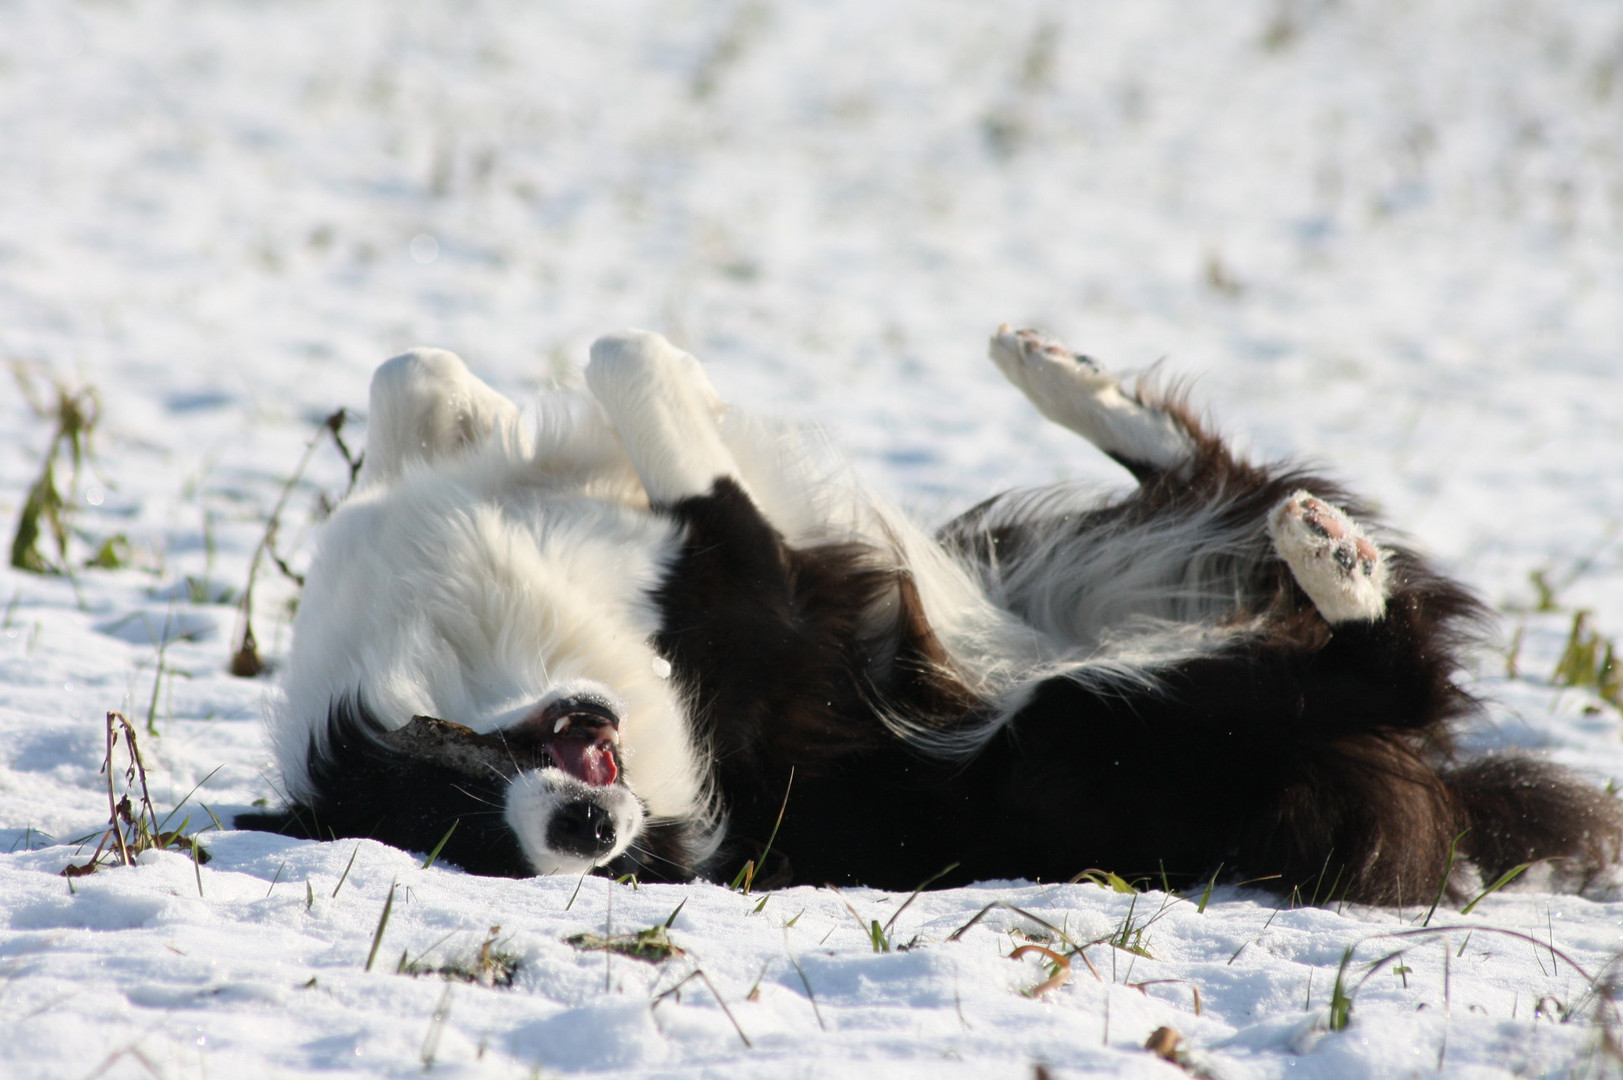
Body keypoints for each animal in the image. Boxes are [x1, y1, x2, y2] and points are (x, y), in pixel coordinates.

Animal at [240, 326, 1623, 902]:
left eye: (441, 770)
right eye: (465, 840)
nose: (580, 833)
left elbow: (418, 378)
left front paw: (474, 401)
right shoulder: (765, 601)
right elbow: (644, 398)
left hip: (1078, 569)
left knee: (1216, 480)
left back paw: (1062, 374)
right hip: (1102, 721)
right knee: (1378, 660)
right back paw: (1332, 566)